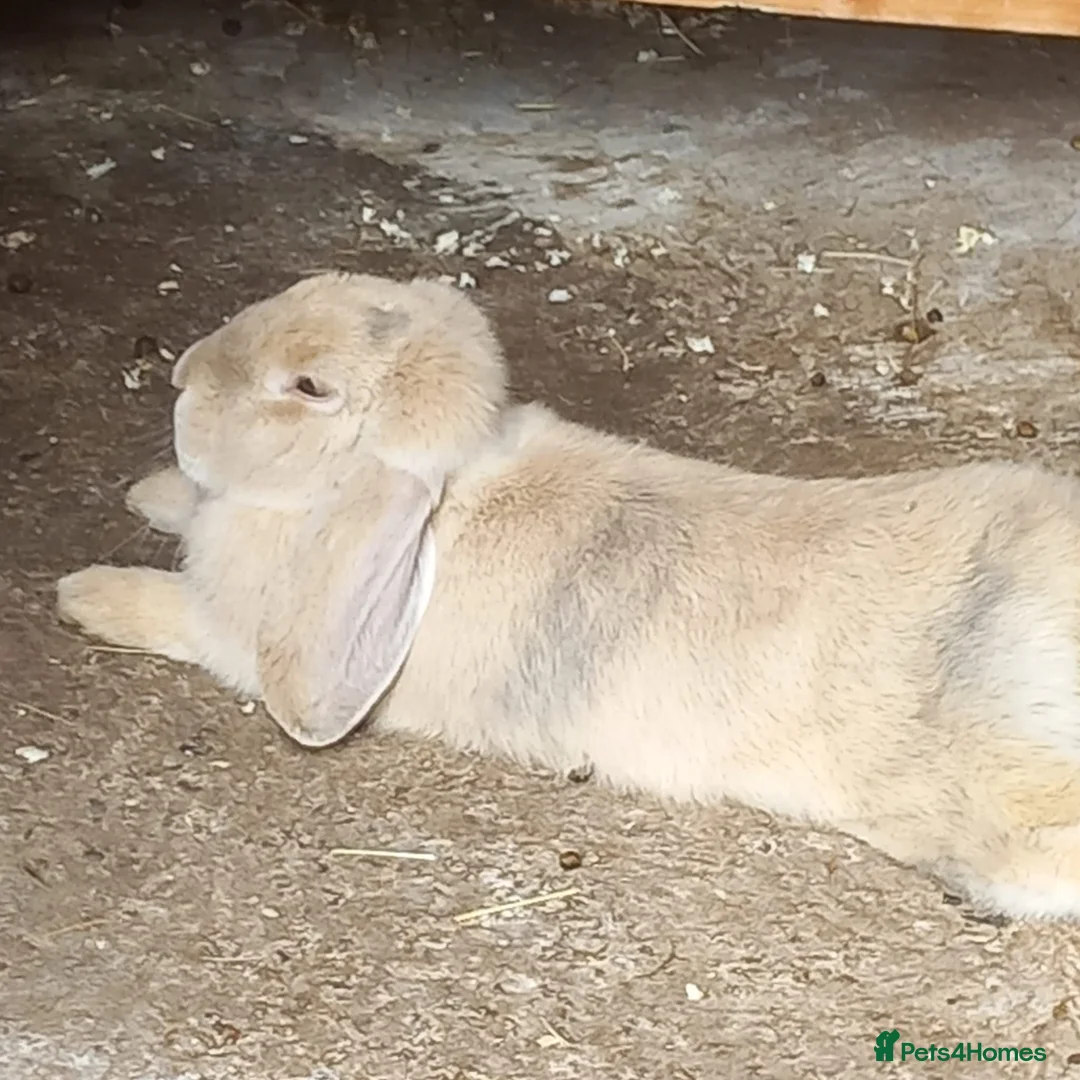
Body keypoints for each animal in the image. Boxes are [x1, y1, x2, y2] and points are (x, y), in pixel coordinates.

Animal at [56, 270, 1080, 922]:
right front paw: (150, 492)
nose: (183, 373)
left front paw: (82, 593)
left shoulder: (238, 633)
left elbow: (174, 613)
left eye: (307, 386)